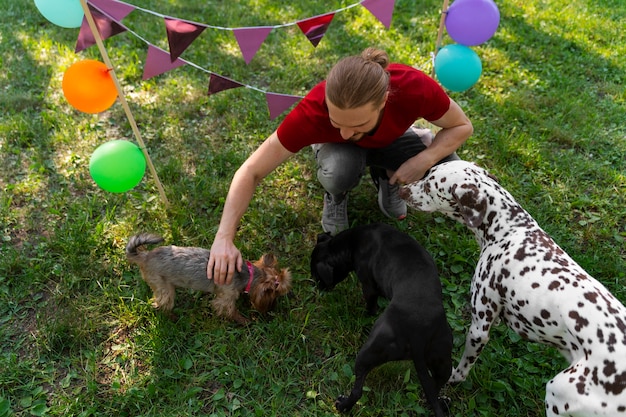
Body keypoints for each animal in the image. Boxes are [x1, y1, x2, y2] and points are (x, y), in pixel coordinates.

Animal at [128, 232, 294, 324]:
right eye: (276, 294)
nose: (273, 308)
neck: (248, 275)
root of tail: (145, 256)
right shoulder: (226, 298)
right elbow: (230, 310)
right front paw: (244, 320)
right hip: (163, 287)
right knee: (161, 303)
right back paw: (172, 316)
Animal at [310, 223, 450, 416]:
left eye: (317, 276)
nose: (317, 289)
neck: (352, 242)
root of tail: (418, 337)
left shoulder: (368, 285)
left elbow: (370, 305)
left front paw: (365, 315)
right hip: (443, 361)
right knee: (435, 387)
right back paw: (441, 402)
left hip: (367, 353)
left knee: (358, 390)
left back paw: (343, 405)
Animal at [398, 160, 620, 416]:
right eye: (426, 174)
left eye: (430, 186)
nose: (402, 190)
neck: (509, 229)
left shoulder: (479, 328)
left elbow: (460, 370)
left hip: (556, 394)